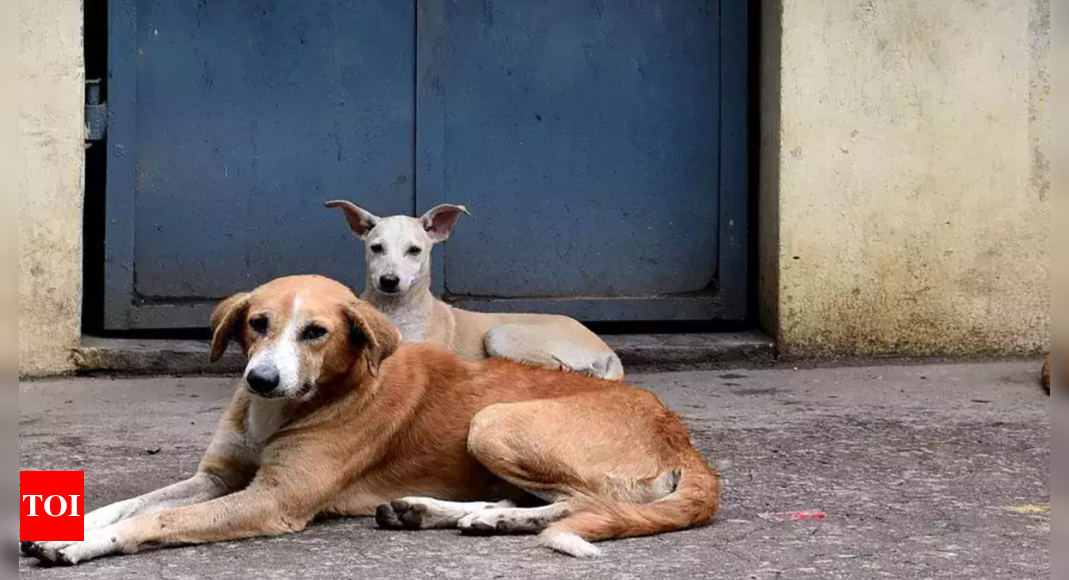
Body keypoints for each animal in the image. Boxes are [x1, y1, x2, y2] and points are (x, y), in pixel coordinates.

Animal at [25, 277, 722, 568]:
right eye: (257, 324)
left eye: (315, 332)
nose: (259, 381)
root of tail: (680, 433)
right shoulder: (218, 478)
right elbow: (129, 502)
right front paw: (72, 525)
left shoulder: (273, 500)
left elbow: (154, 519)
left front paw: (80, 544)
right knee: (543, 501)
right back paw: (444, 512)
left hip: (494, 422)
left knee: (587, 503)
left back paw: (491, 519)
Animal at [324, 199, 624, 380]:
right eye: (376, 248)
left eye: (414, 250)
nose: (389, 280)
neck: (396, 311)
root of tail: (605, 348)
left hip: (499, 335)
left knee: (562, 369)